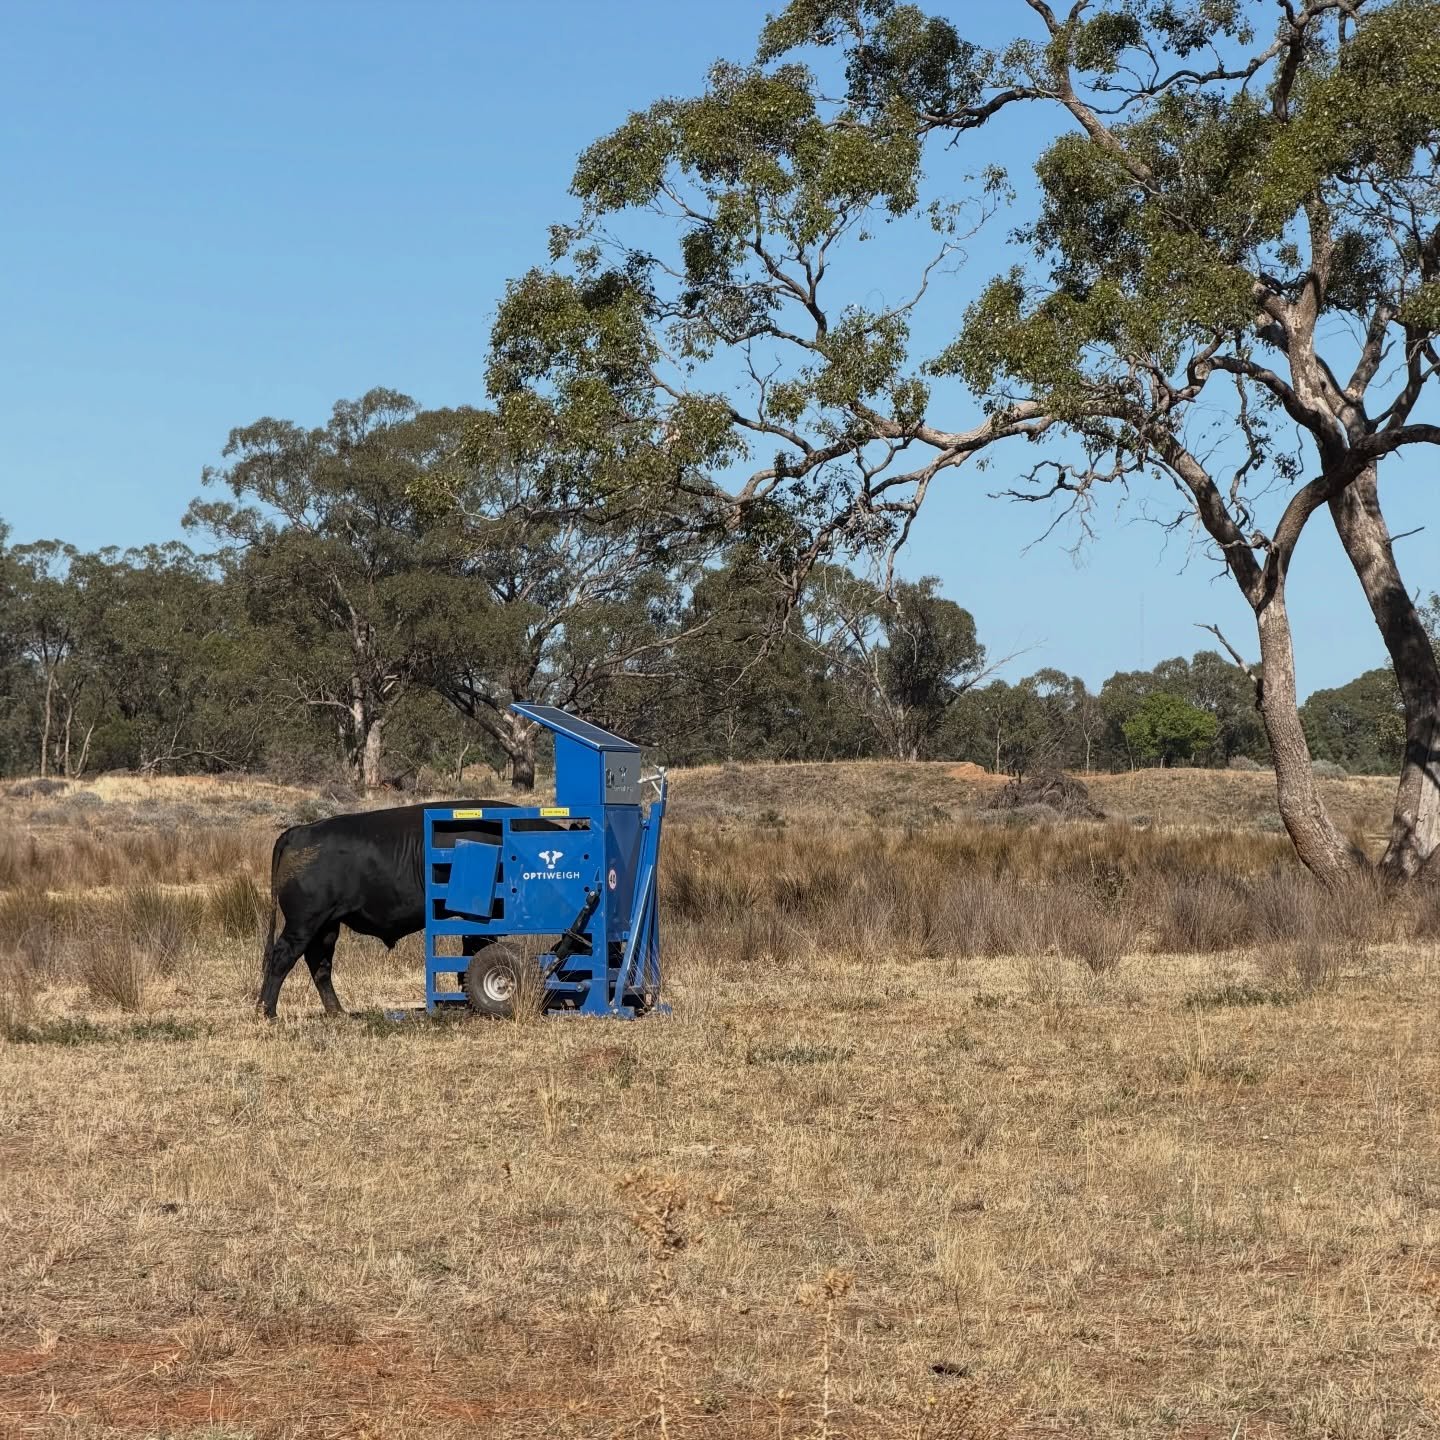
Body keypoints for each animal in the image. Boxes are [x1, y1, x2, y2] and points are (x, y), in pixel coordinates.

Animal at [258, 800, 512, 1018]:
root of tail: (298, 832)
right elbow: (476, 951)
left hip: (327, 927)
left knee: (319, 962)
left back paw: (337, 1011)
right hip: (304, 924)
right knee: (282, 957)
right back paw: (267, 1011)